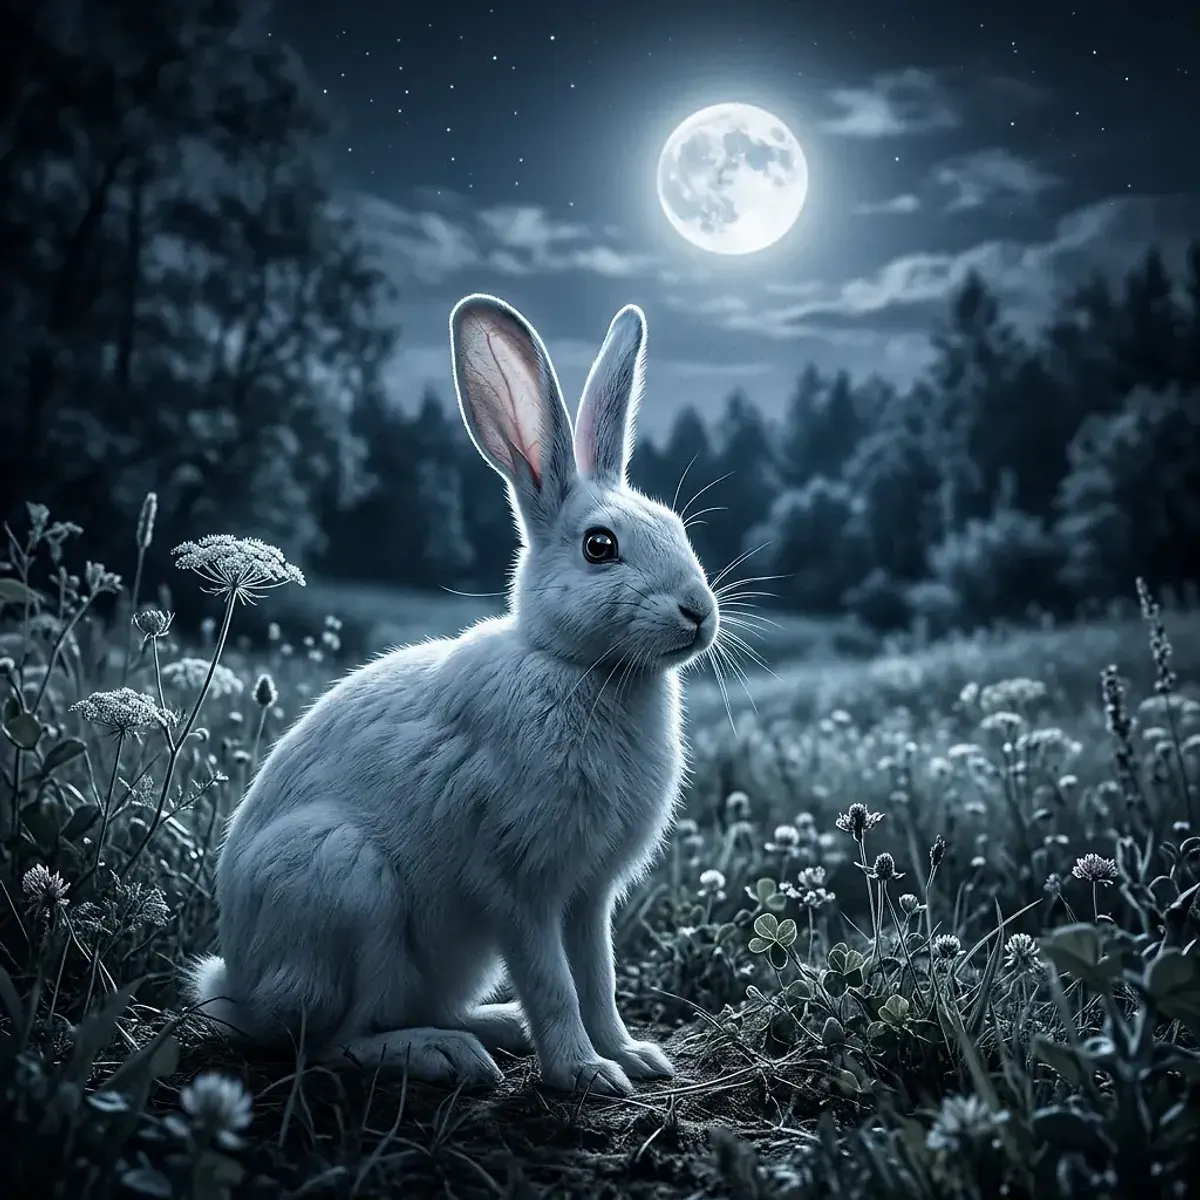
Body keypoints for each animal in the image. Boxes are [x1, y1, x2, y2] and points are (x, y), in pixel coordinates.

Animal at [186, 292, 719, 1097]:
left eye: (679, 529)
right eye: (600, 547)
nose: (699, 612)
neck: (577, 666)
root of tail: (240, 990)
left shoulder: (588, 896)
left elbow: (597, 978)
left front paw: (632, 1057)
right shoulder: (518, 886)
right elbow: (554, 984)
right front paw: (583, 1073)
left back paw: (496, 1029)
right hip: (349, 885)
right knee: (335, 1041)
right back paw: (448, 1055)